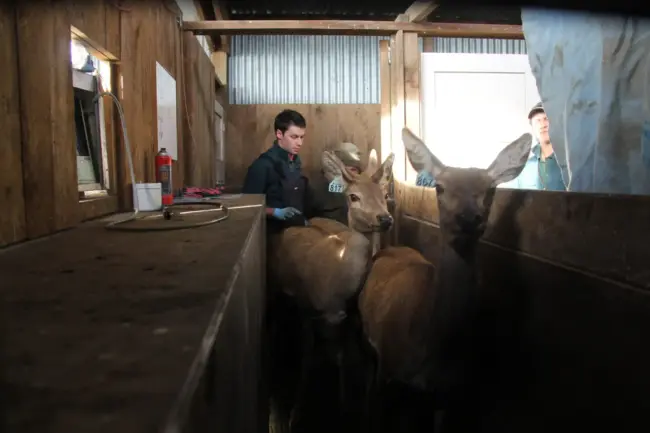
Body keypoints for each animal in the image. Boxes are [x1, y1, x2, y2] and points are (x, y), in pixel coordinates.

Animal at [268, 149, 395, 431]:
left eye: (384, 193)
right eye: (353, 196)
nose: (385, 218)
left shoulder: (353, 324)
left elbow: (357, 365)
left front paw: (356, 411)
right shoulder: (318, 312)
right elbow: (322, 357)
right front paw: (301, 413)